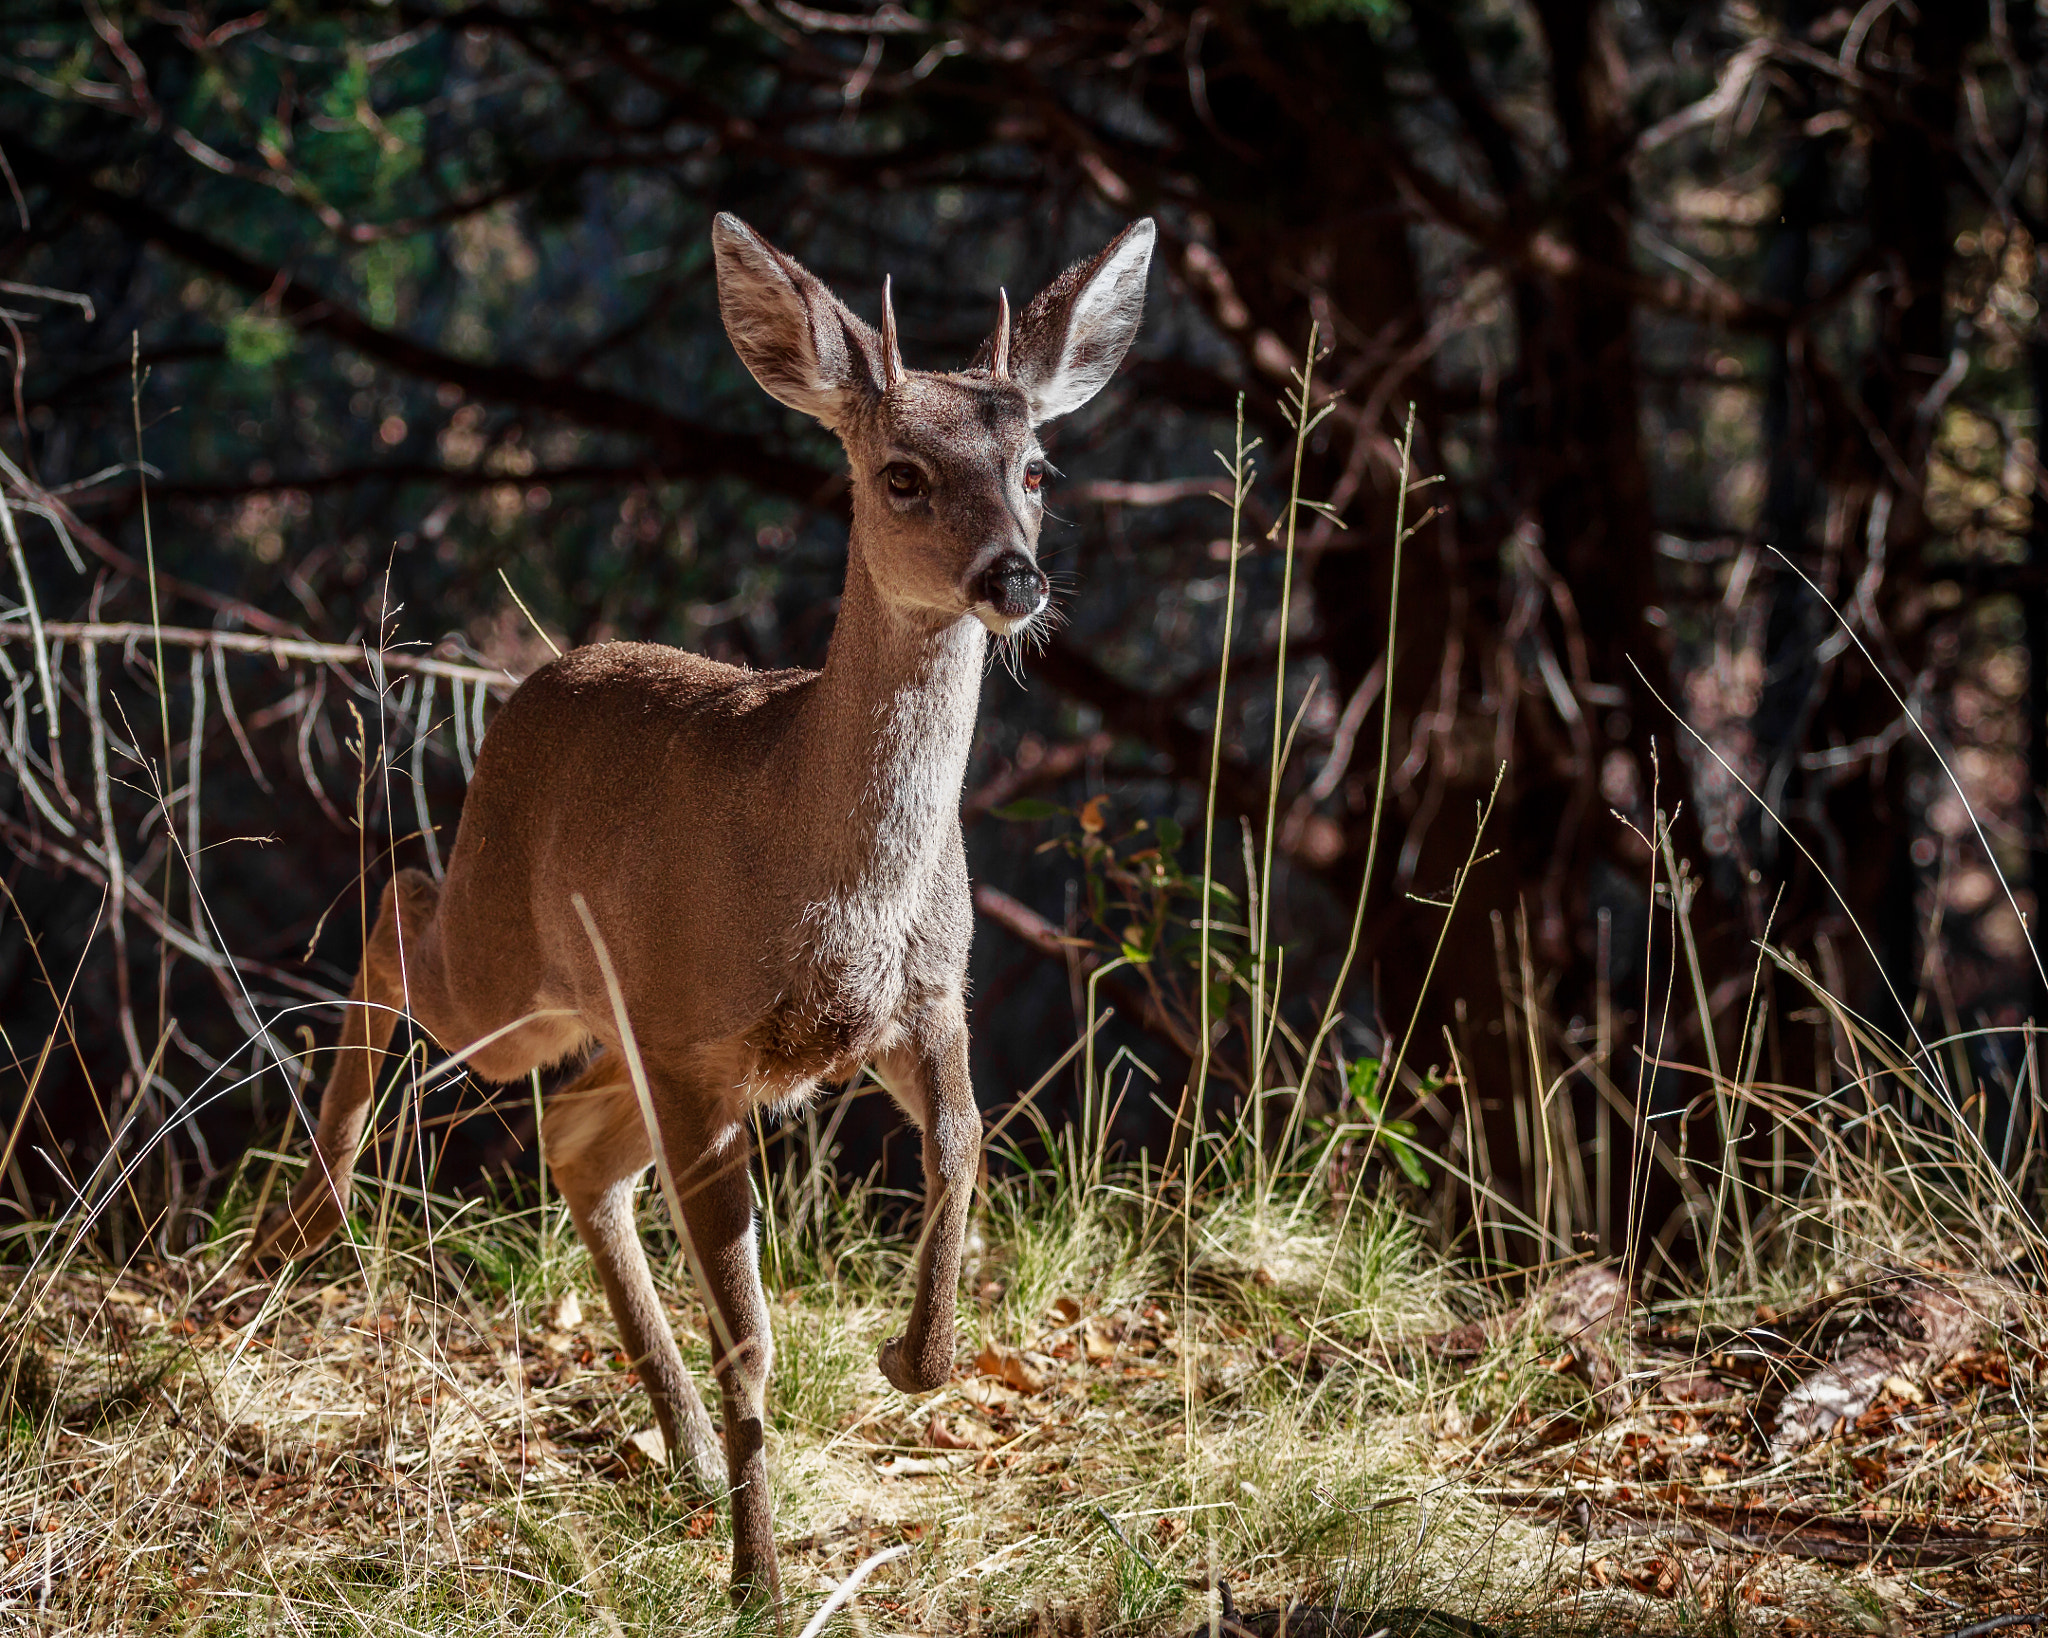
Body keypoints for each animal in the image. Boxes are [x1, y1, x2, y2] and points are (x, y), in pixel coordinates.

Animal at [243, 210, 1155, 1605]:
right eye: (900, 474)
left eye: (1038, 469)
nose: (1016, 579)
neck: (823, 884)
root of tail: (540, 679)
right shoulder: (697, 1042)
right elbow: (753, 1330)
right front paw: (759, 1581)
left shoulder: (917, 1004)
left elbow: (962, 1144)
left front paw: (914, 1361)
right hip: (522, 971)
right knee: (402, 911)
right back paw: (309, 1216)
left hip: (622, 1031)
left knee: (573, 1141)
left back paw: (670, 1443)